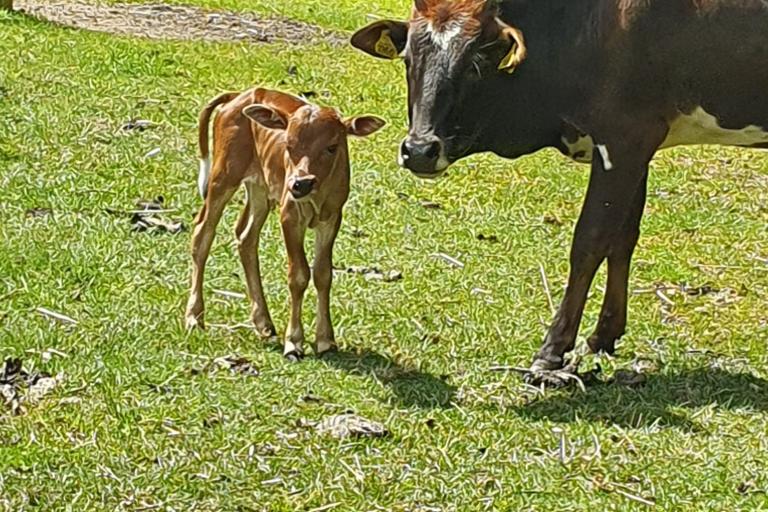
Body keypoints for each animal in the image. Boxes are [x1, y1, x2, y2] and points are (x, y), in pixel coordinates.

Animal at [184, 87, 388, 360]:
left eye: (332, 147)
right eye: (289, 145)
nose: (301, 183)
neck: (316, 197)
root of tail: (237, 96)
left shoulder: (332, 217)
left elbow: (323, 273)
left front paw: (325, 340)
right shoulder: (289, 214)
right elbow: (298, 274)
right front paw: (294, 342)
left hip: (260, 188)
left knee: (246, 237)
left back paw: (264, 322)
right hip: (223, 174)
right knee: (202, 231)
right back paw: (194, 317)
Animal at [352, 0, 768, 384]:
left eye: (475, 63)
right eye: (409, 58)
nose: (420, 150)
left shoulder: (625, 137)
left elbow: (590, 241)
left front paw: (551, 351)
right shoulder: (636, 147)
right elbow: (623, 239)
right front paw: (603, 335)